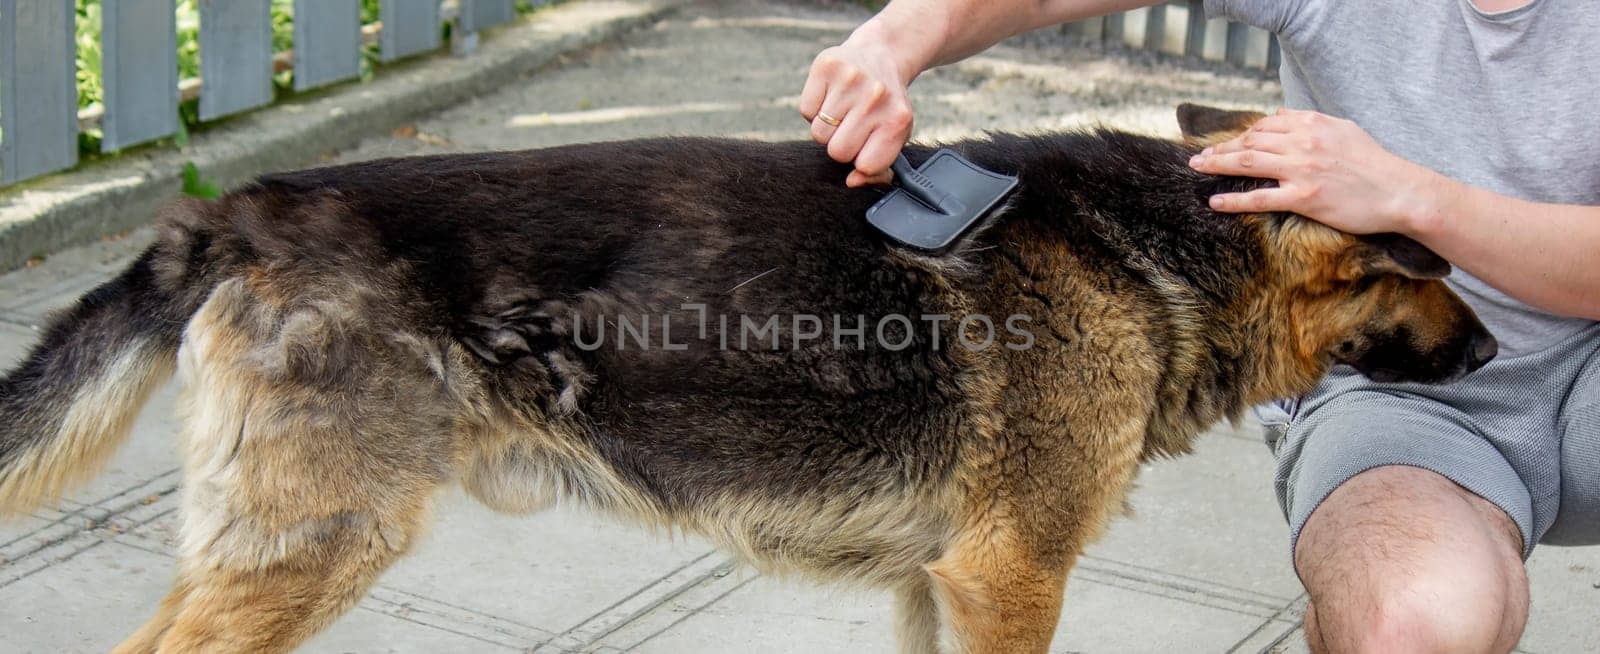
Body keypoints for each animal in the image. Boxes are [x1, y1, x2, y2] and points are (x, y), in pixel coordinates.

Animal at [3, 104, 1497, 649]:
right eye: (1422, 265)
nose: (1492, 350)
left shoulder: (938, 584)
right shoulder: (1010, 575)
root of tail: (240, 212)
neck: (1152, 252)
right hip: (317, 546)